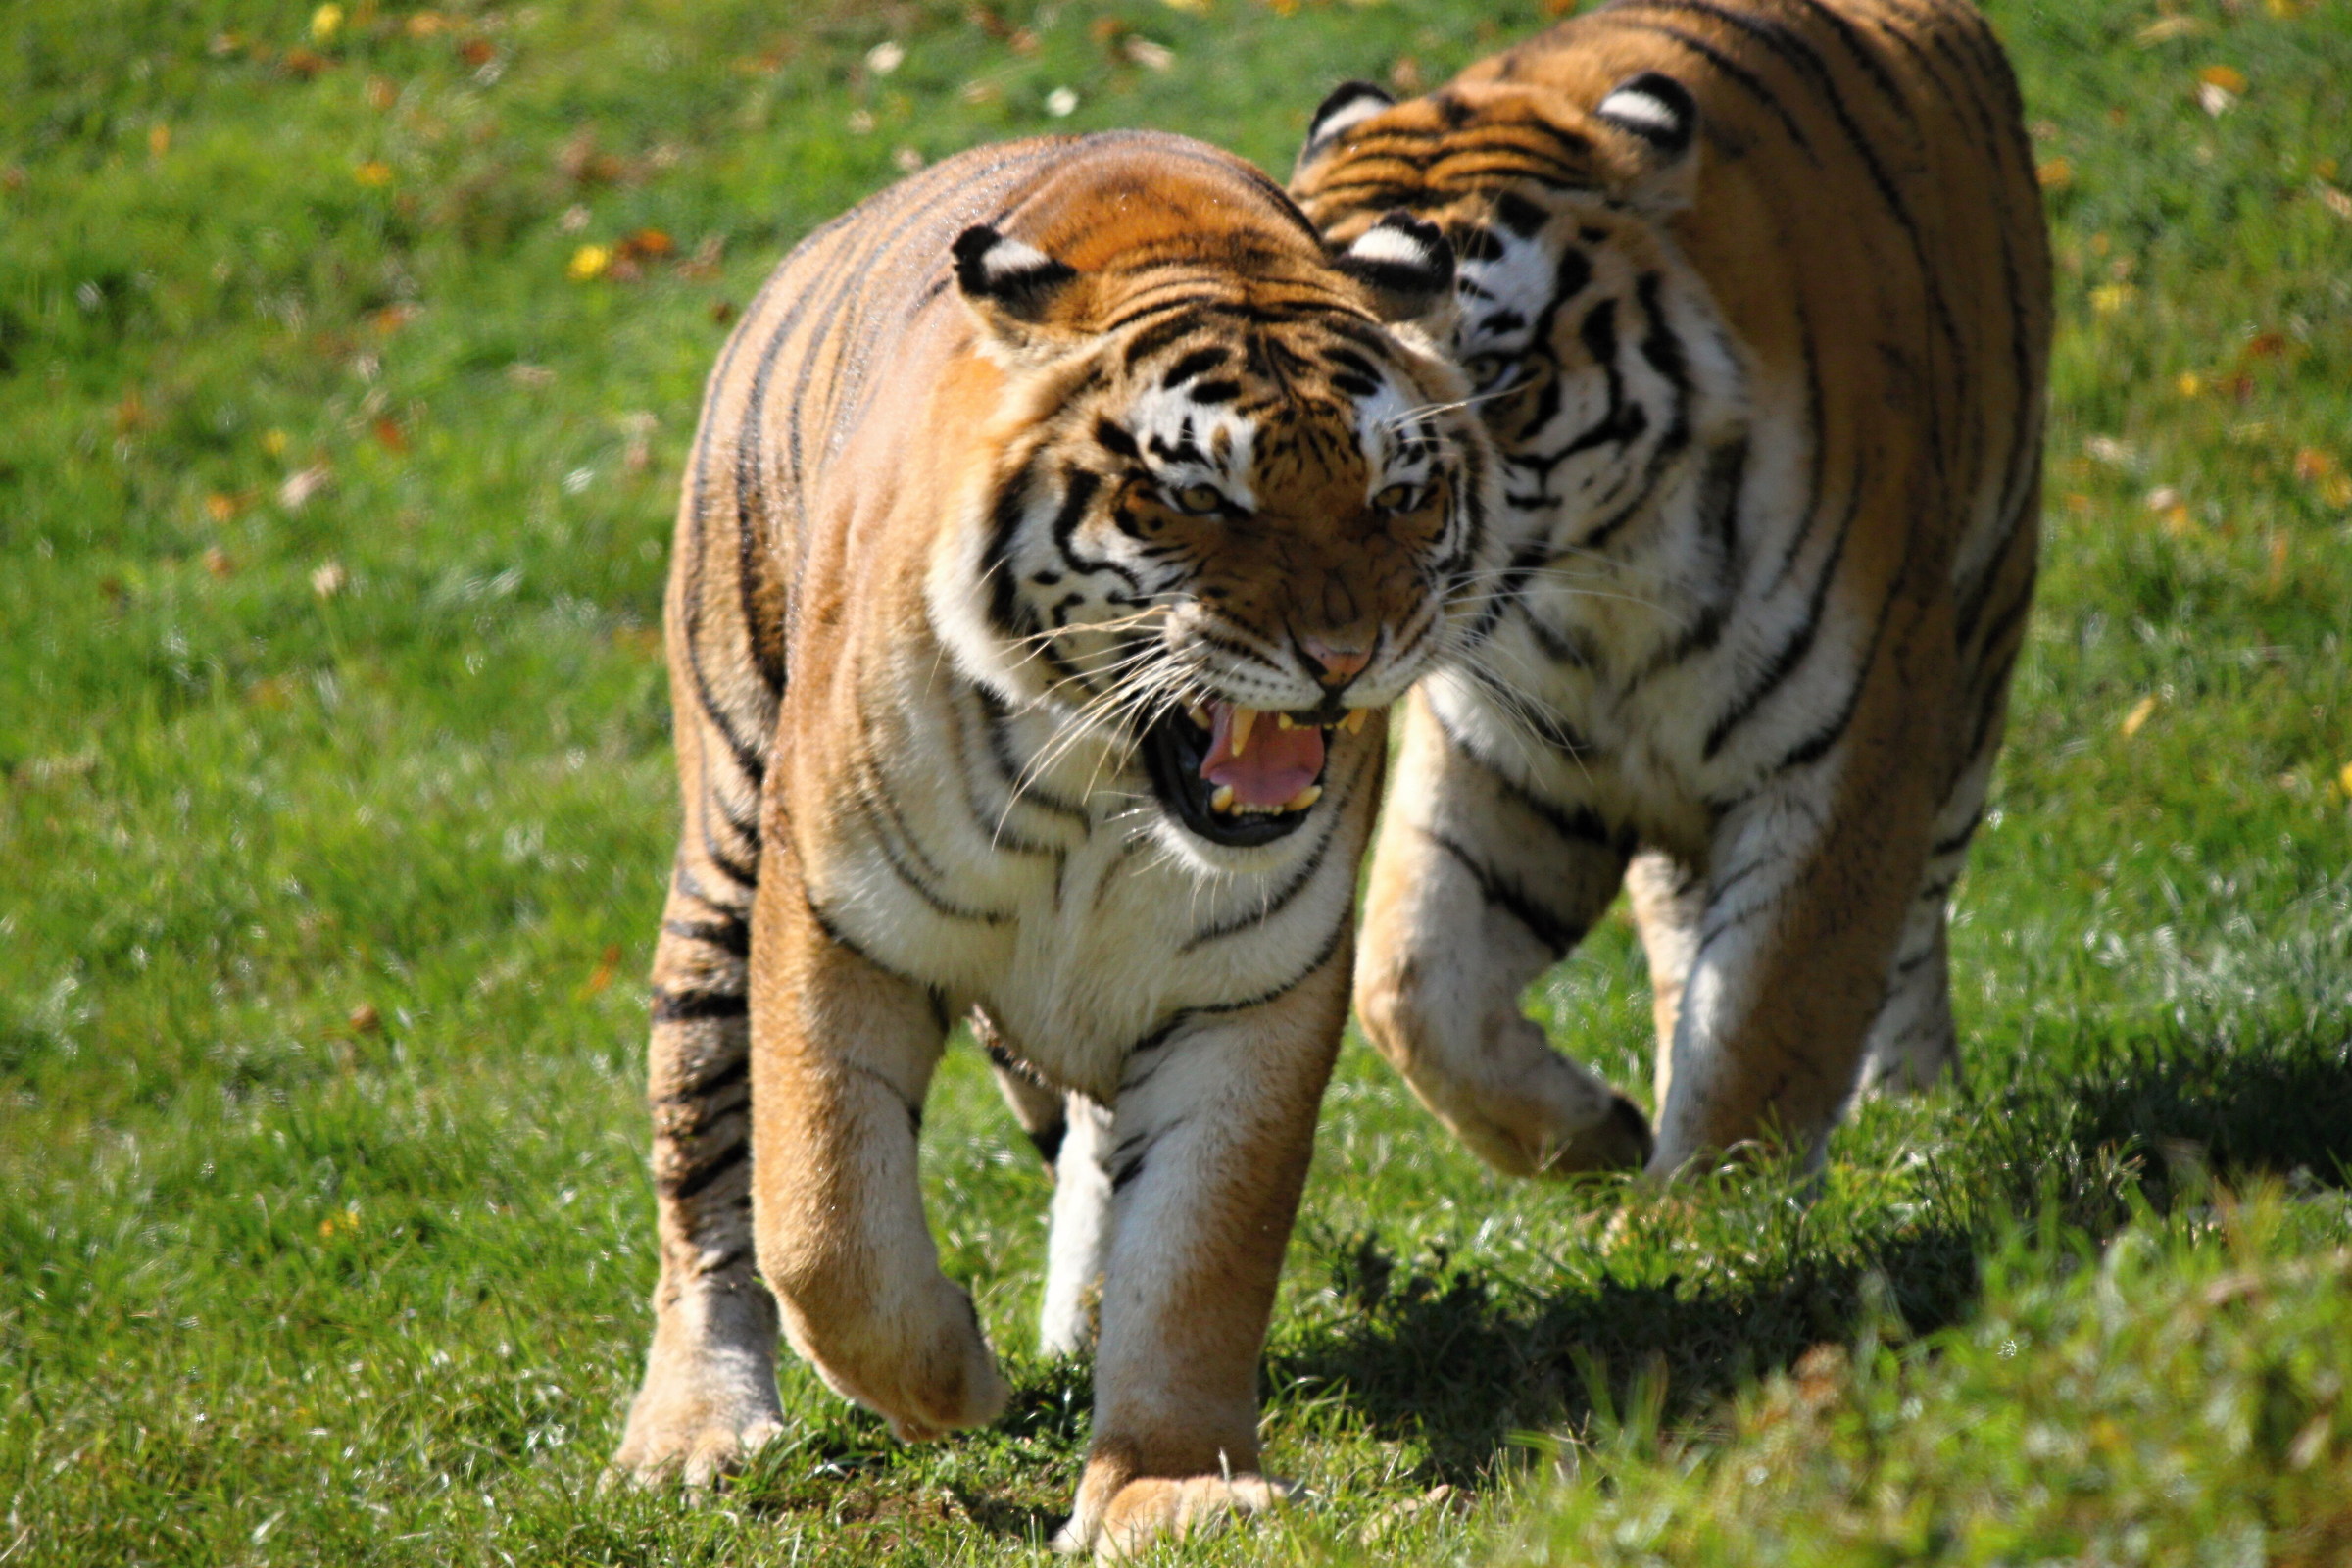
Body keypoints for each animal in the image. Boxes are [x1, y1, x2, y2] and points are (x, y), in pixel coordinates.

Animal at [604, 130, 1503, 1558]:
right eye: (1201, 500)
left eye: (1397, 497)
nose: (1344, 656)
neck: (1104, 806)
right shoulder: (831, 918)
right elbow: (824, 1222)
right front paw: (955, 1383)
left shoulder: (1251, 990)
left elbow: (1197, 1255)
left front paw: (1171, 1489)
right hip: (725, 851)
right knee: (705, 1179)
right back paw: (693, 1432)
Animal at [1288, 0, 2051, 1180]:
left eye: (1495, 379)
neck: (1603, 590)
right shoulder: (1500, 759)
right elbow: (1413, 990)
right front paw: (1599, 1138)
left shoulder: (1841, 751)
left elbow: (1768, 1014)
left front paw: (1712, 1207)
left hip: (1975, 656)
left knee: (1917, 916)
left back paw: (1914, 1112)